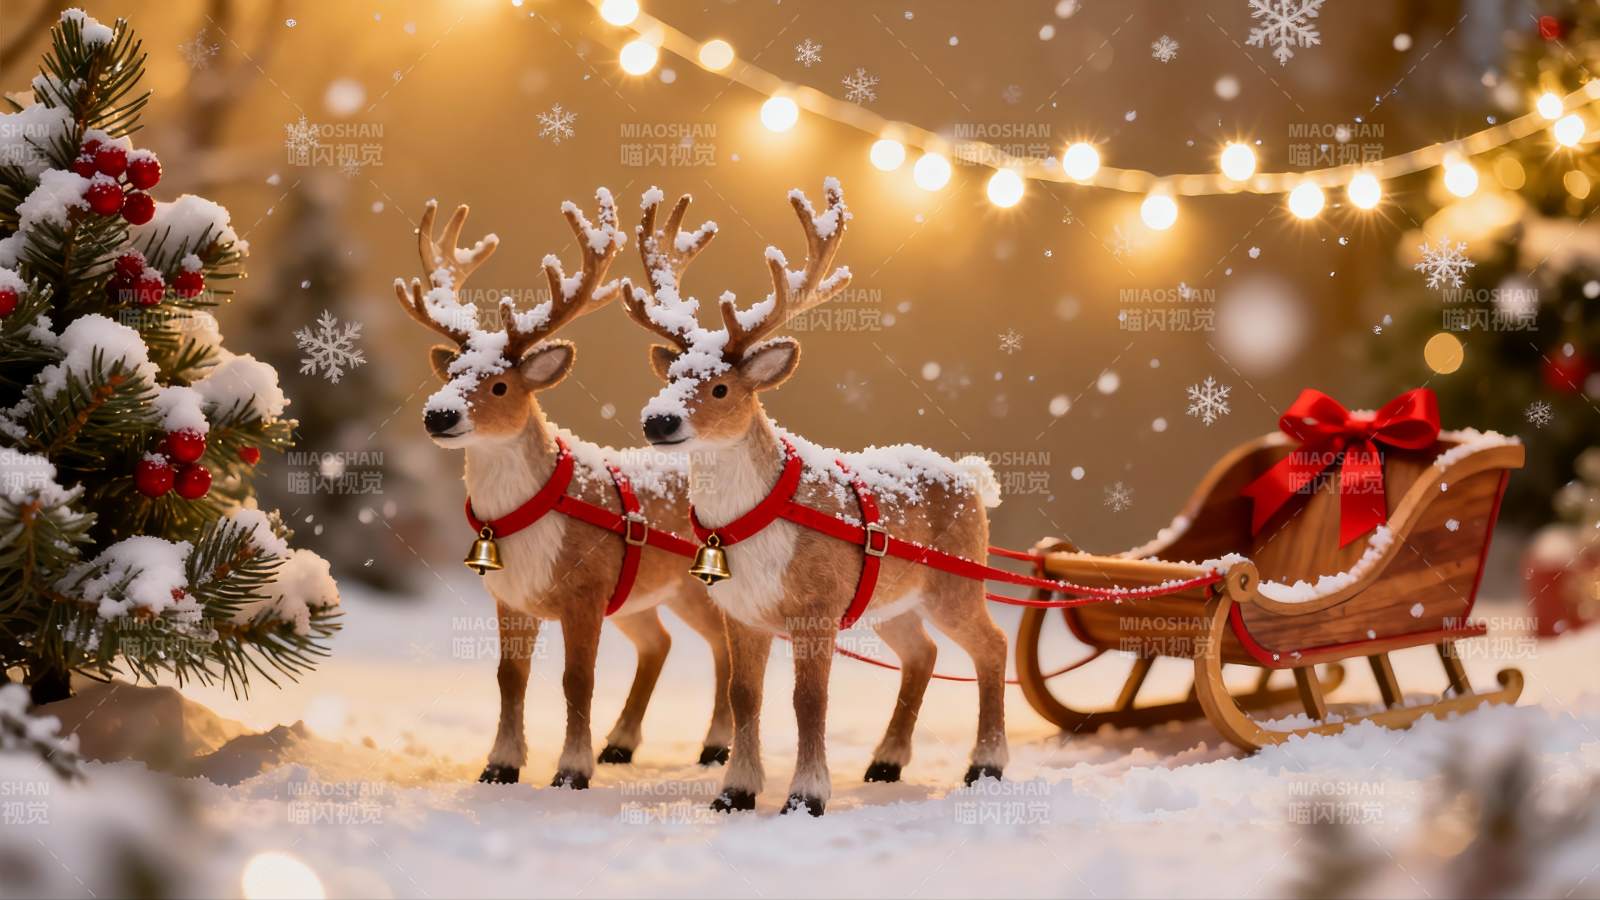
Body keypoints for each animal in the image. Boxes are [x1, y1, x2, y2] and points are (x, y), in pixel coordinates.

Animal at [393, 189, 737, 789]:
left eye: (500, 385)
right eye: (451, 374)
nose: (439, 414)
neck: (532, 514)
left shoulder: (585, 590)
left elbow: (578, 679)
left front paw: (571, 771)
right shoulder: (509, 596)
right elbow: (510, 676)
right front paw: (500, 764)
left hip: (692, 585)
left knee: (719, 642)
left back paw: (714, 747)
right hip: (640, 596)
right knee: (661, 643)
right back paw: (620, 745)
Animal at [620, 179, 1008, 816]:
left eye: (720, 388)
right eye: (670, 376)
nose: (658, 420)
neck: (750, 521)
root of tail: (973, 478)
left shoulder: (817, 605)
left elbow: (809, 700)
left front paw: (806, 796)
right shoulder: (742, 612)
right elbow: (745, 694)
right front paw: (735, 791)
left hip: (957, 579)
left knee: (993, 647)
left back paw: (987, 766)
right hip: (892, 602)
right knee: (922, 654)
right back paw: (885, 763)